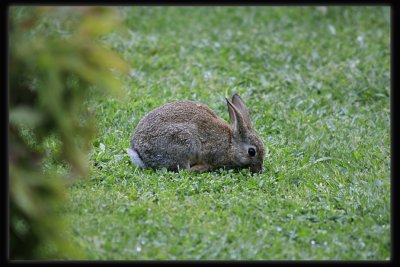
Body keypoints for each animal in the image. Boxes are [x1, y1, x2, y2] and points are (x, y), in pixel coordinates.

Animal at [128, 93, 266, 174]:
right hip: (183, 143)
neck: (230, 144)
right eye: (251, 152)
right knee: (184, 170)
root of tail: (139, 153)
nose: (259, 170)